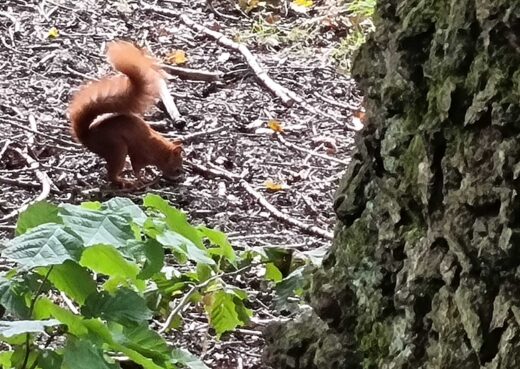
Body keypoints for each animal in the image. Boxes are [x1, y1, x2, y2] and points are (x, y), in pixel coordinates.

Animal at [68, 41, 183, 187]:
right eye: (177, 169)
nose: (179, 177)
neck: (159, 149)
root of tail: (87, 137)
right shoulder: (140, 155)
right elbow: (137, 168)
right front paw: (142, 179)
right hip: (118, 149)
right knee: (111, 175)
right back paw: (125, 182)